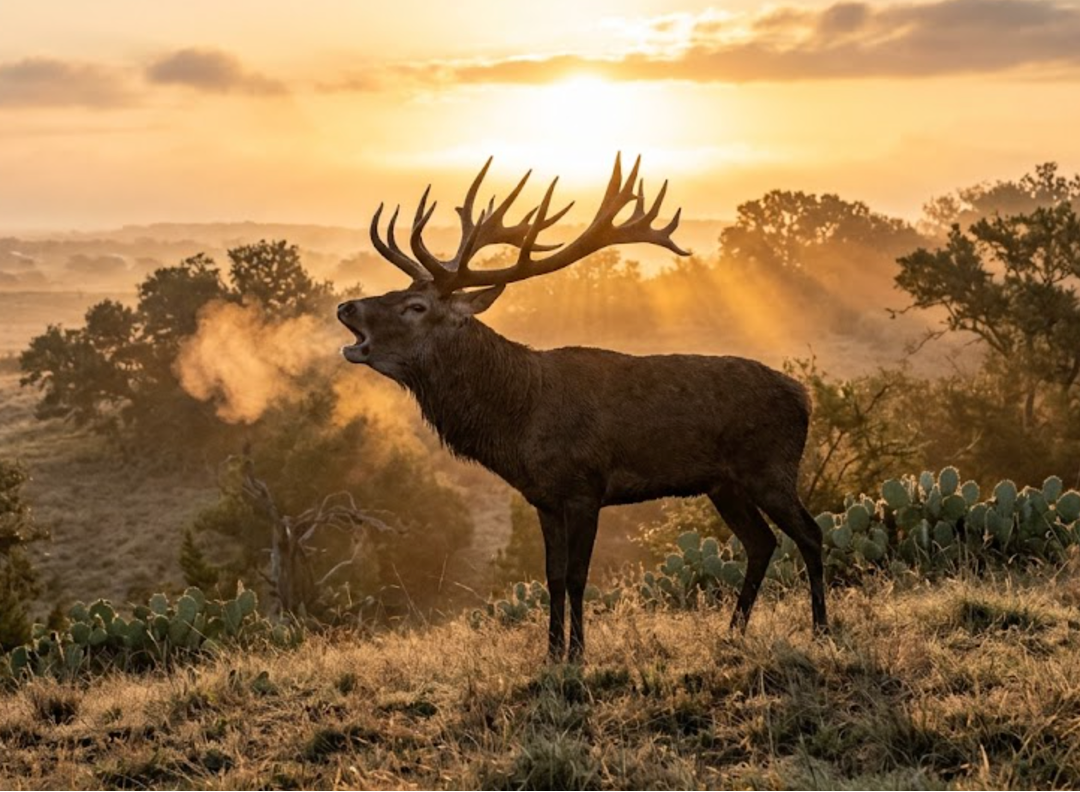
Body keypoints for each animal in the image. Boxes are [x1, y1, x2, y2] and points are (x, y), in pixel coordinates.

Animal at [337, 155, 826, 661]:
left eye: (415, 305)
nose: (346, 307)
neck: (519, 423)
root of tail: (804, 396)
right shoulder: (544, 498)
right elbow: (552, 577)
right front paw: (552, 653)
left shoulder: (585, 487)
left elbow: (577, 577)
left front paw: (577, 652)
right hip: (724, 484)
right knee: (762, 542)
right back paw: (733, 631)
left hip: (770, 468)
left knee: (810, 534)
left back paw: (820, 628)